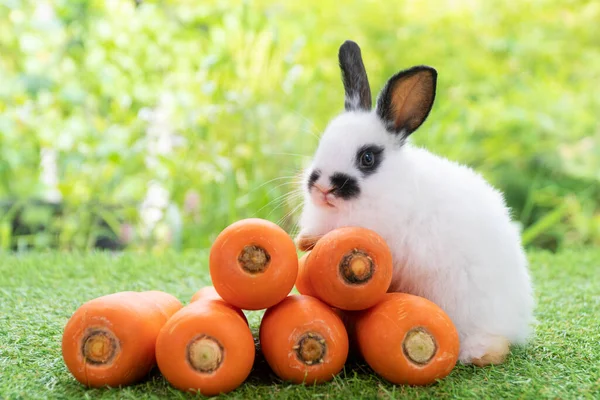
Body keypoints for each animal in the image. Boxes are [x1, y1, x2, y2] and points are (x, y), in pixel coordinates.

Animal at [296, 39, 536, 366]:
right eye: (322, 146)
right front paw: (303, 241)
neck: (388, 188)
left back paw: (478, 353)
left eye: (367, 158)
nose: (322, 187)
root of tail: (517, 320)